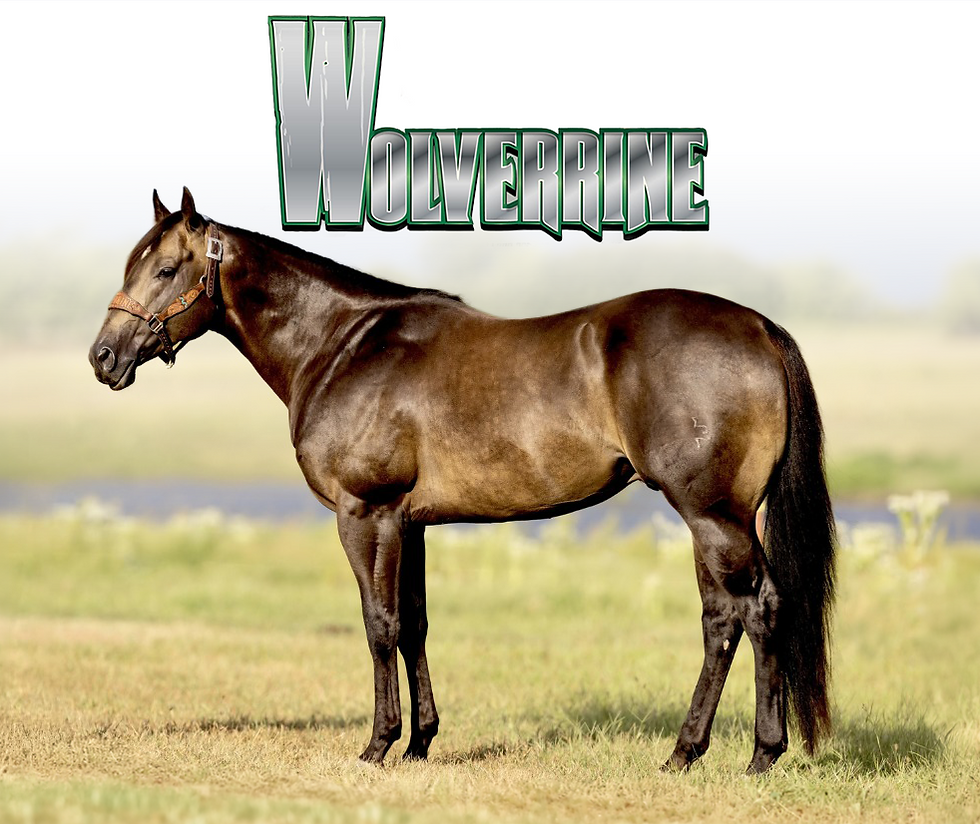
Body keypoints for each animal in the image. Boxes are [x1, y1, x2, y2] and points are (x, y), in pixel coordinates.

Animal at [89, 188, 836, 774]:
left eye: (165, 268)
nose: (104, 357)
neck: (341, 345)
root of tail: (759, 327)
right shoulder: (409, 522)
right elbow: (415, 623)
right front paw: (421, 742)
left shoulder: (365, 514)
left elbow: (379, 623)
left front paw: (379, 745)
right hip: (717, 517)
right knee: (726, 617)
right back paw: (704, 752)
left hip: (711, 513)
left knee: (754, 611)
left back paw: (744, 753)